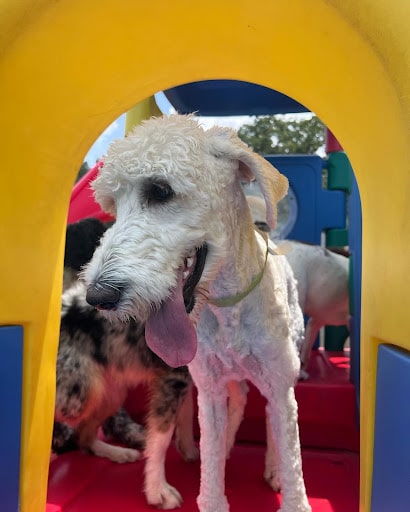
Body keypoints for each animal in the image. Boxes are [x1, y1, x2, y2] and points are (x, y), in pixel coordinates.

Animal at [85, 116, 310, 512]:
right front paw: (213, 470)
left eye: (160, 190)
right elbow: (212, 462)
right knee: (240, 400)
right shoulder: (209, 388)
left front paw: (283, 478)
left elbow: (289, 453)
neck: (227, 304)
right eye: (113, 206)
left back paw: (272, 468)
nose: (98, 296)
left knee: (272, 418)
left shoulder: (280, 384)